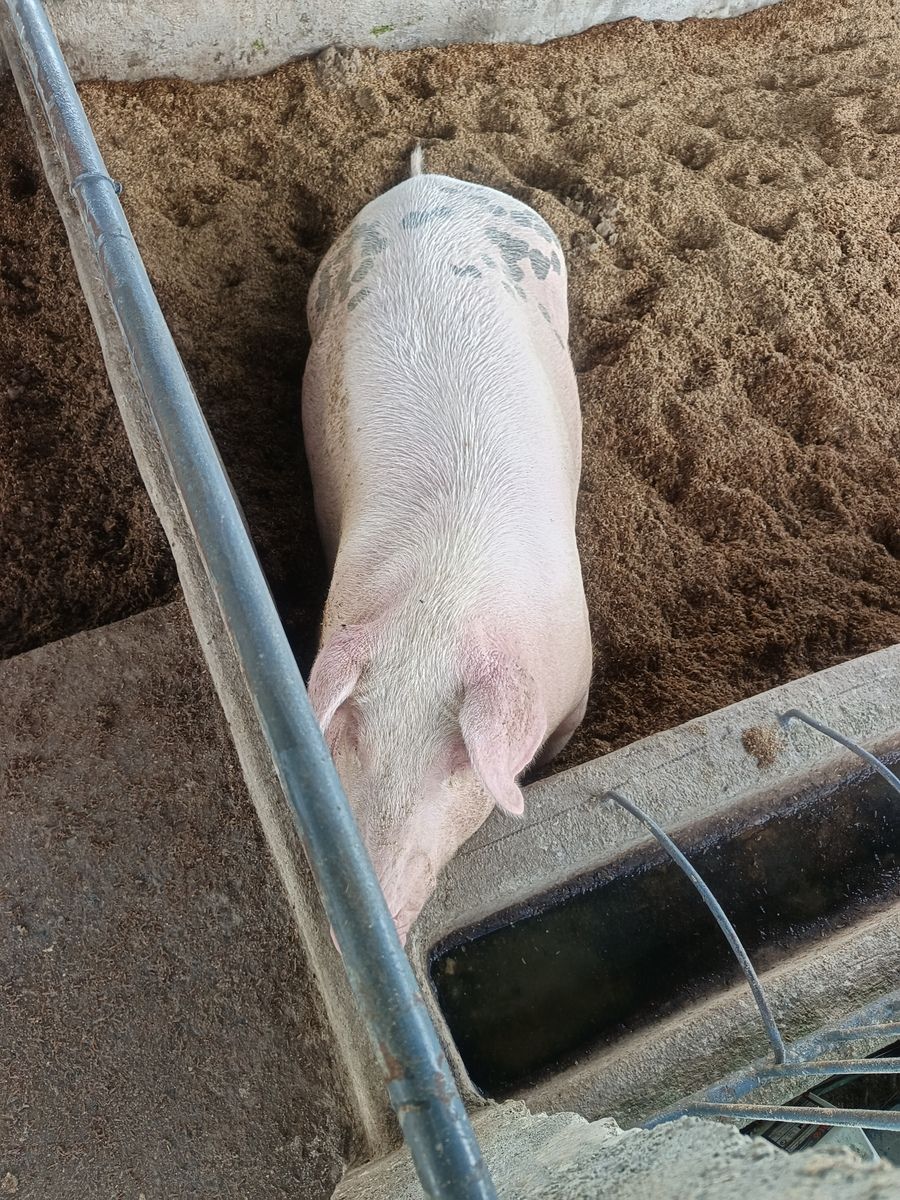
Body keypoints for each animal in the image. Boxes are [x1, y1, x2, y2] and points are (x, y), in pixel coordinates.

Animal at [302, 146, 592, 946]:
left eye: (457, 757)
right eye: (349, 732)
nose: (372, 916)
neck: (443, 596)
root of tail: (425, 182)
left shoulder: (577, 683)